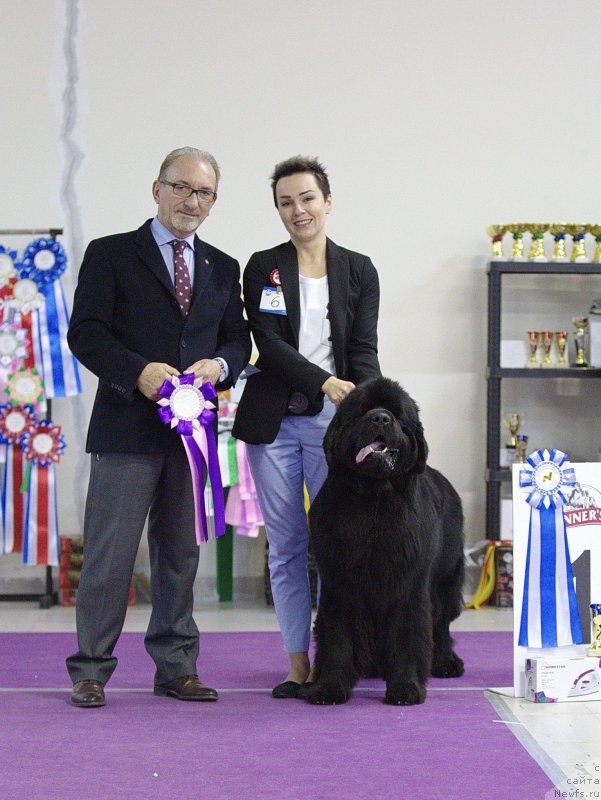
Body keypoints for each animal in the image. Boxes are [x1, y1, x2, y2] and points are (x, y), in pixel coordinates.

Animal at [304, 376, 464, 708]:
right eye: (362, 410)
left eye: (398, 415)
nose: (380, 418)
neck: (373, 500)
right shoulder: (339, 585)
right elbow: (337, 638)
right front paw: (330, 687)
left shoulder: (408, 585)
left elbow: (407, 635)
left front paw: (405, 687)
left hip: (447, 578)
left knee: (441, 622)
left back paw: (445, 663)